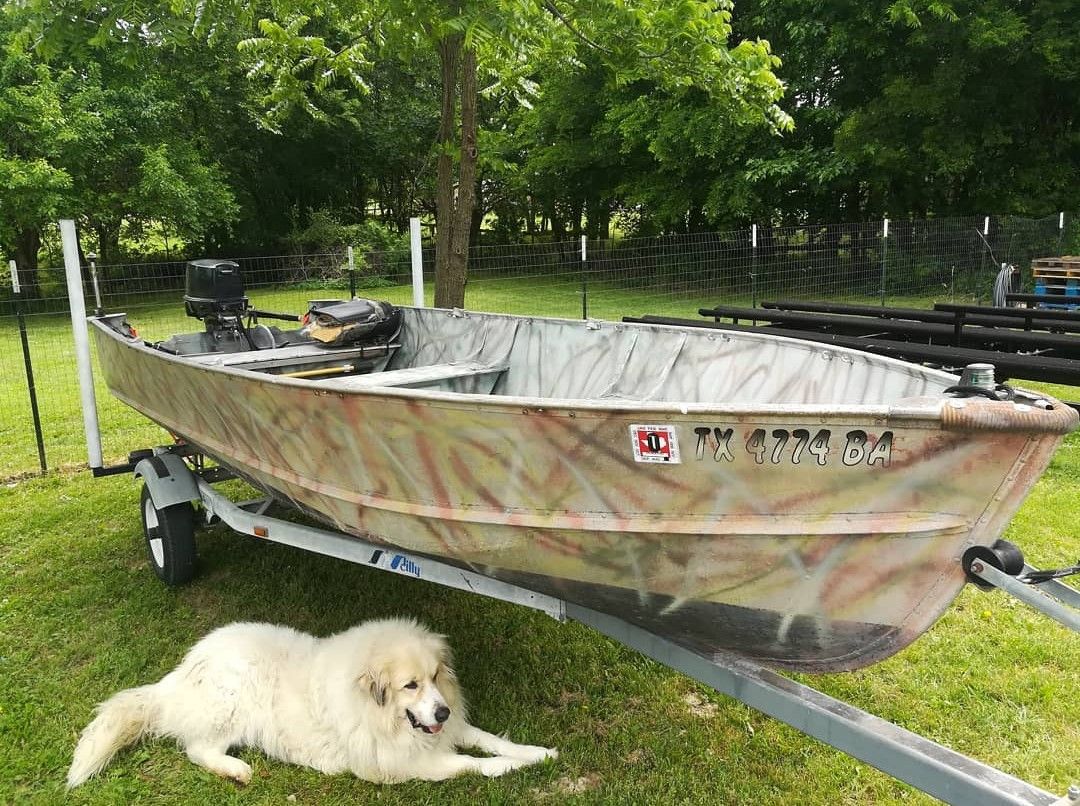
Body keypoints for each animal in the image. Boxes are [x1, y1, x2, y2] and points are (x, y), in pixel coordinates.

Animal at [67, 613, 557, 786]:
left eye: (436, 677)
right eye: (410, 685)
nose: (443, 709)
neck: (377, 712)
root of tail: (183, 669)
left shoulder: (446, 731)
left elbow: (491, 739)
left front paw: (540, 752)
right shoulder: (409, 764)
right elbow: (476, 763)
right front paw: (516, 766)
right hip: (231, 702)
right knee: (198, 749)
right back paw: (238, 769)